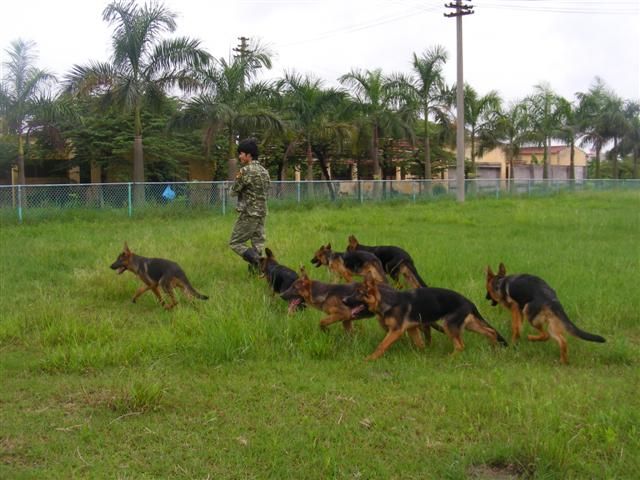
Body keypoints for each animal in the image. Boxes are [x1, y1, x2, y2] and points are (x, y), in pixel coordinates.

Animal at [344, 274, 504, 360]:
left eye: (358, 293)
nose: (344, 300)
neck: (387, 301)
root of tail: (469, 302)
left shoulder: (396, 331)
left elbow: (381, 345)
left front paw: (370, 359)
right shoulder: (412, 329)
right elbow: (419, 344)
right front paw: (423, 354)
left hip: (449, 325)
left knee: (460, 345)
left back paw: (449, 358)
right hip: (469, 324)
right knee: (491, 332)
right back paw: (495, 350)